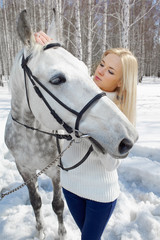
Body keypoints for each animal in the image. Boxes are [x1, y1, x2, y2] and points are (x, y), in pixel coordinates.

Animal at [5, 10, 138, 239]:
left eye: (85, 69)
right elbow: (35, 202)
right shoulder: (24, 169)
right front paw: (40, 232)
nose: (128, 138)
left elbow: (58, 204)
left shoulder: (57, 172)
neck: (30, 135)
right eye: (57, 79)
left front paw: (61, 233)